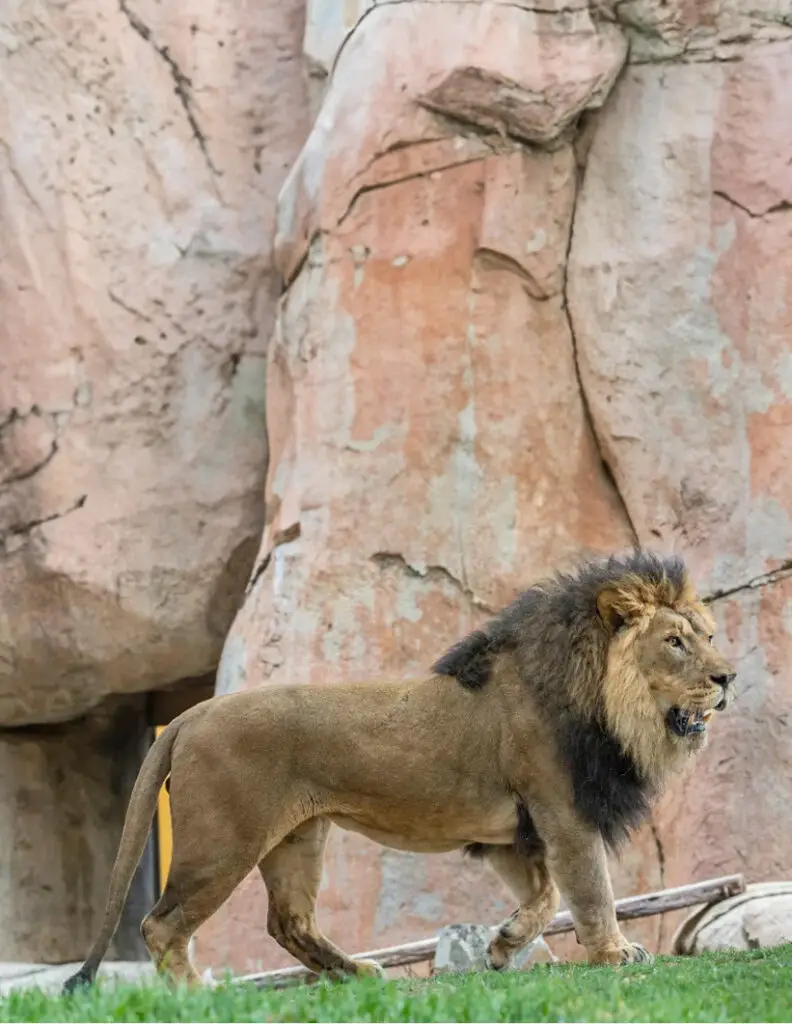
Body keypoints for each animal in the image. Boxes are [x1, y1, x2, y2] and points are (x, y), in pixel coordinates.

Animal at [63, 552, 733, 991]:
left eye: (707, 634)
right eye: (675, 642)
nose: (728, 676)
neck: (605, 702)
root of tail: (189, 714)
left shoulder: (512, 835)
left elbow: (545, 897)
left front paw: (504, 945)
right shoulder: (563, 813)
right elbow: (593, 890)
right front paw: (616, 953)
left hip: (297, 838)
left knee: (289, 922)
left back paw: (359, 973)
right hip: (223, 842)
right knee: (161, 924)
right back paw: (197, 996)